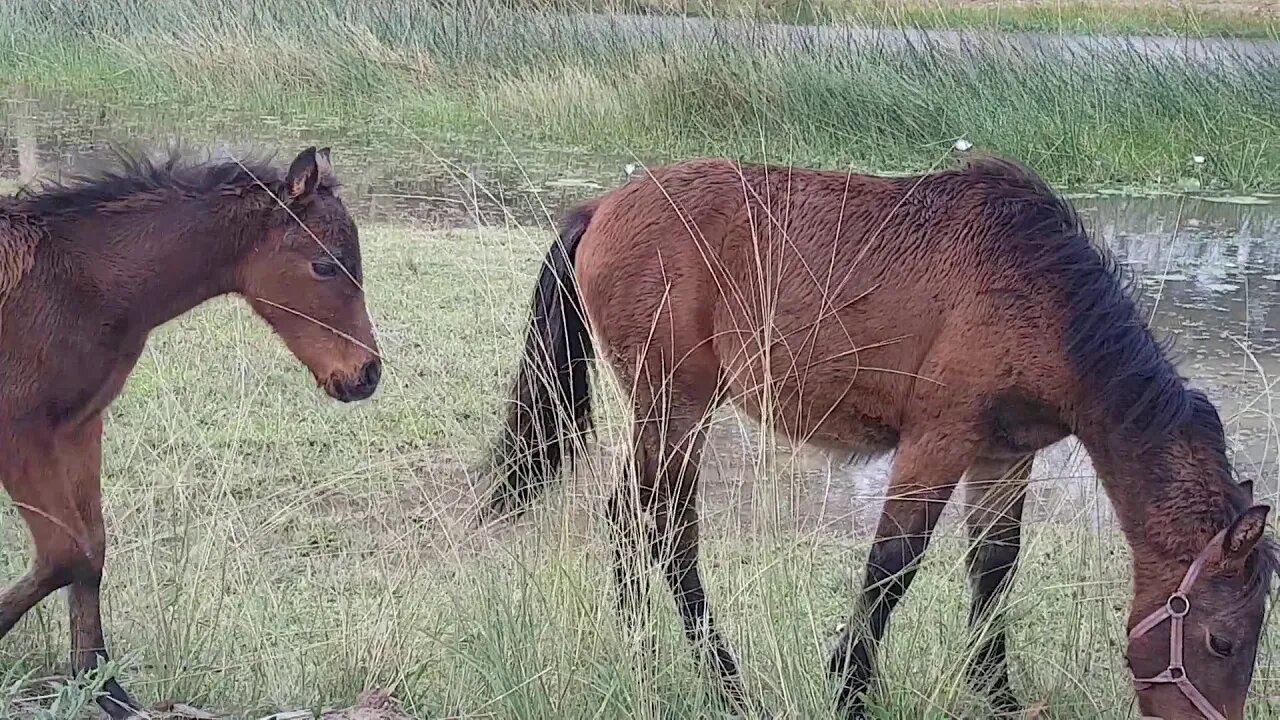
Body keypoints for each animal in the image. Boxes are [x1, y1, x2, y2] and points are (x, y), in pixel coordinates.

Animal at [0, 144, 378, 712]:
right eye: (325, 264)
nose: (366, 375)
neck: (77, 281)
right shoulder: (20, 432)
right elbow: (66, 552)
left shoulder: (78, 427)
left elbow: (90, 550)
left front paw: (106, 689)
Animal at [483, 156, 1274, 717]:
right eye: (1222, 640)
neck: (1040, 290)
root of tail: (601, 206)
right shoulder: (937, 443)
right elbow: (893, 566)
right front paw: (849, 689)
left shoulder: (1003, 459)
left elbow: (994, 571)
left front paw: (1000, 698)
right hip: (675, 409)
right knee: (668, 530)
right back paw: (720, 683)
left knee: (629, 519)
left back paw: (646, 654)